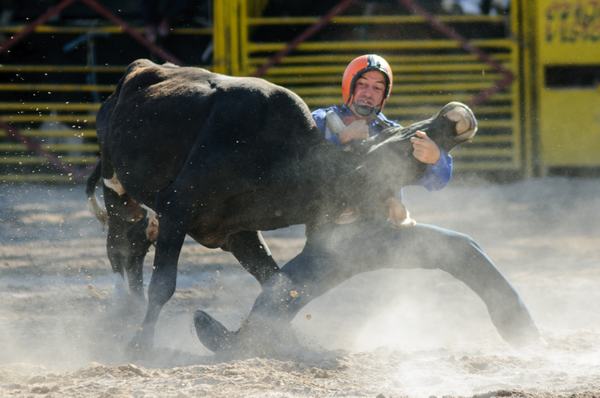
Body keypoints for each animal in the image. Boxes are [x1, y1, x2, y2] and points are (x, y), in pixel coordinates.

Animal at [85, 58, 478, 348]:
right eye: (403, 140)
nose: (458, 113)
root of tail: (137, 70)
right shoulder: (177, 207)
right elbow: (164, 284)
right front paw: (141, 344)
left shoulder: (235, 231)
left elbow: (276, 282)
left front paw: (283, 340)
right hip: (116, 189)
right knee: (120, 246)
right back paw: (121, 312)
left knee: (135, 243)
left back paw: (128, 307)